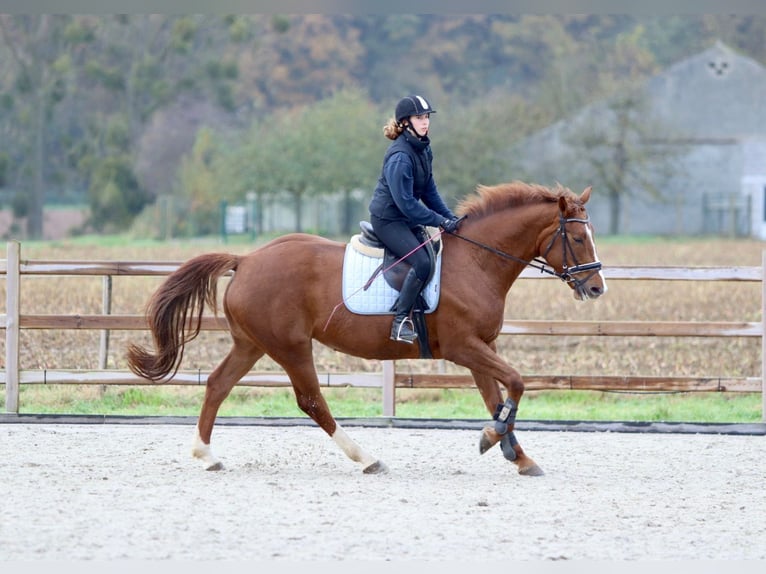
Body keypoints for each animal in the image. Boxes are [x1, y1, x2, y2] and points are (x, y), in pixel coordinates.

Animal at [127, 181, 608, 476]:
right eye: (577, 238)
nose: (597, 287)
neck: (478, 261)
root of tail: (246, 260)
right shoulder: (464, 347)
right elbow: (517, 382)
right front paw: (495, 440)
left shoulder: (480, 347)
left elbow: (496, 397)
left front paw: (514, 453)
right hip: (291, 346)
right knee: (311, 401)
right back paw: (366, 458)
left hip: (252, 344)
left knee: (217, 384)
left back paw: (206, 455)